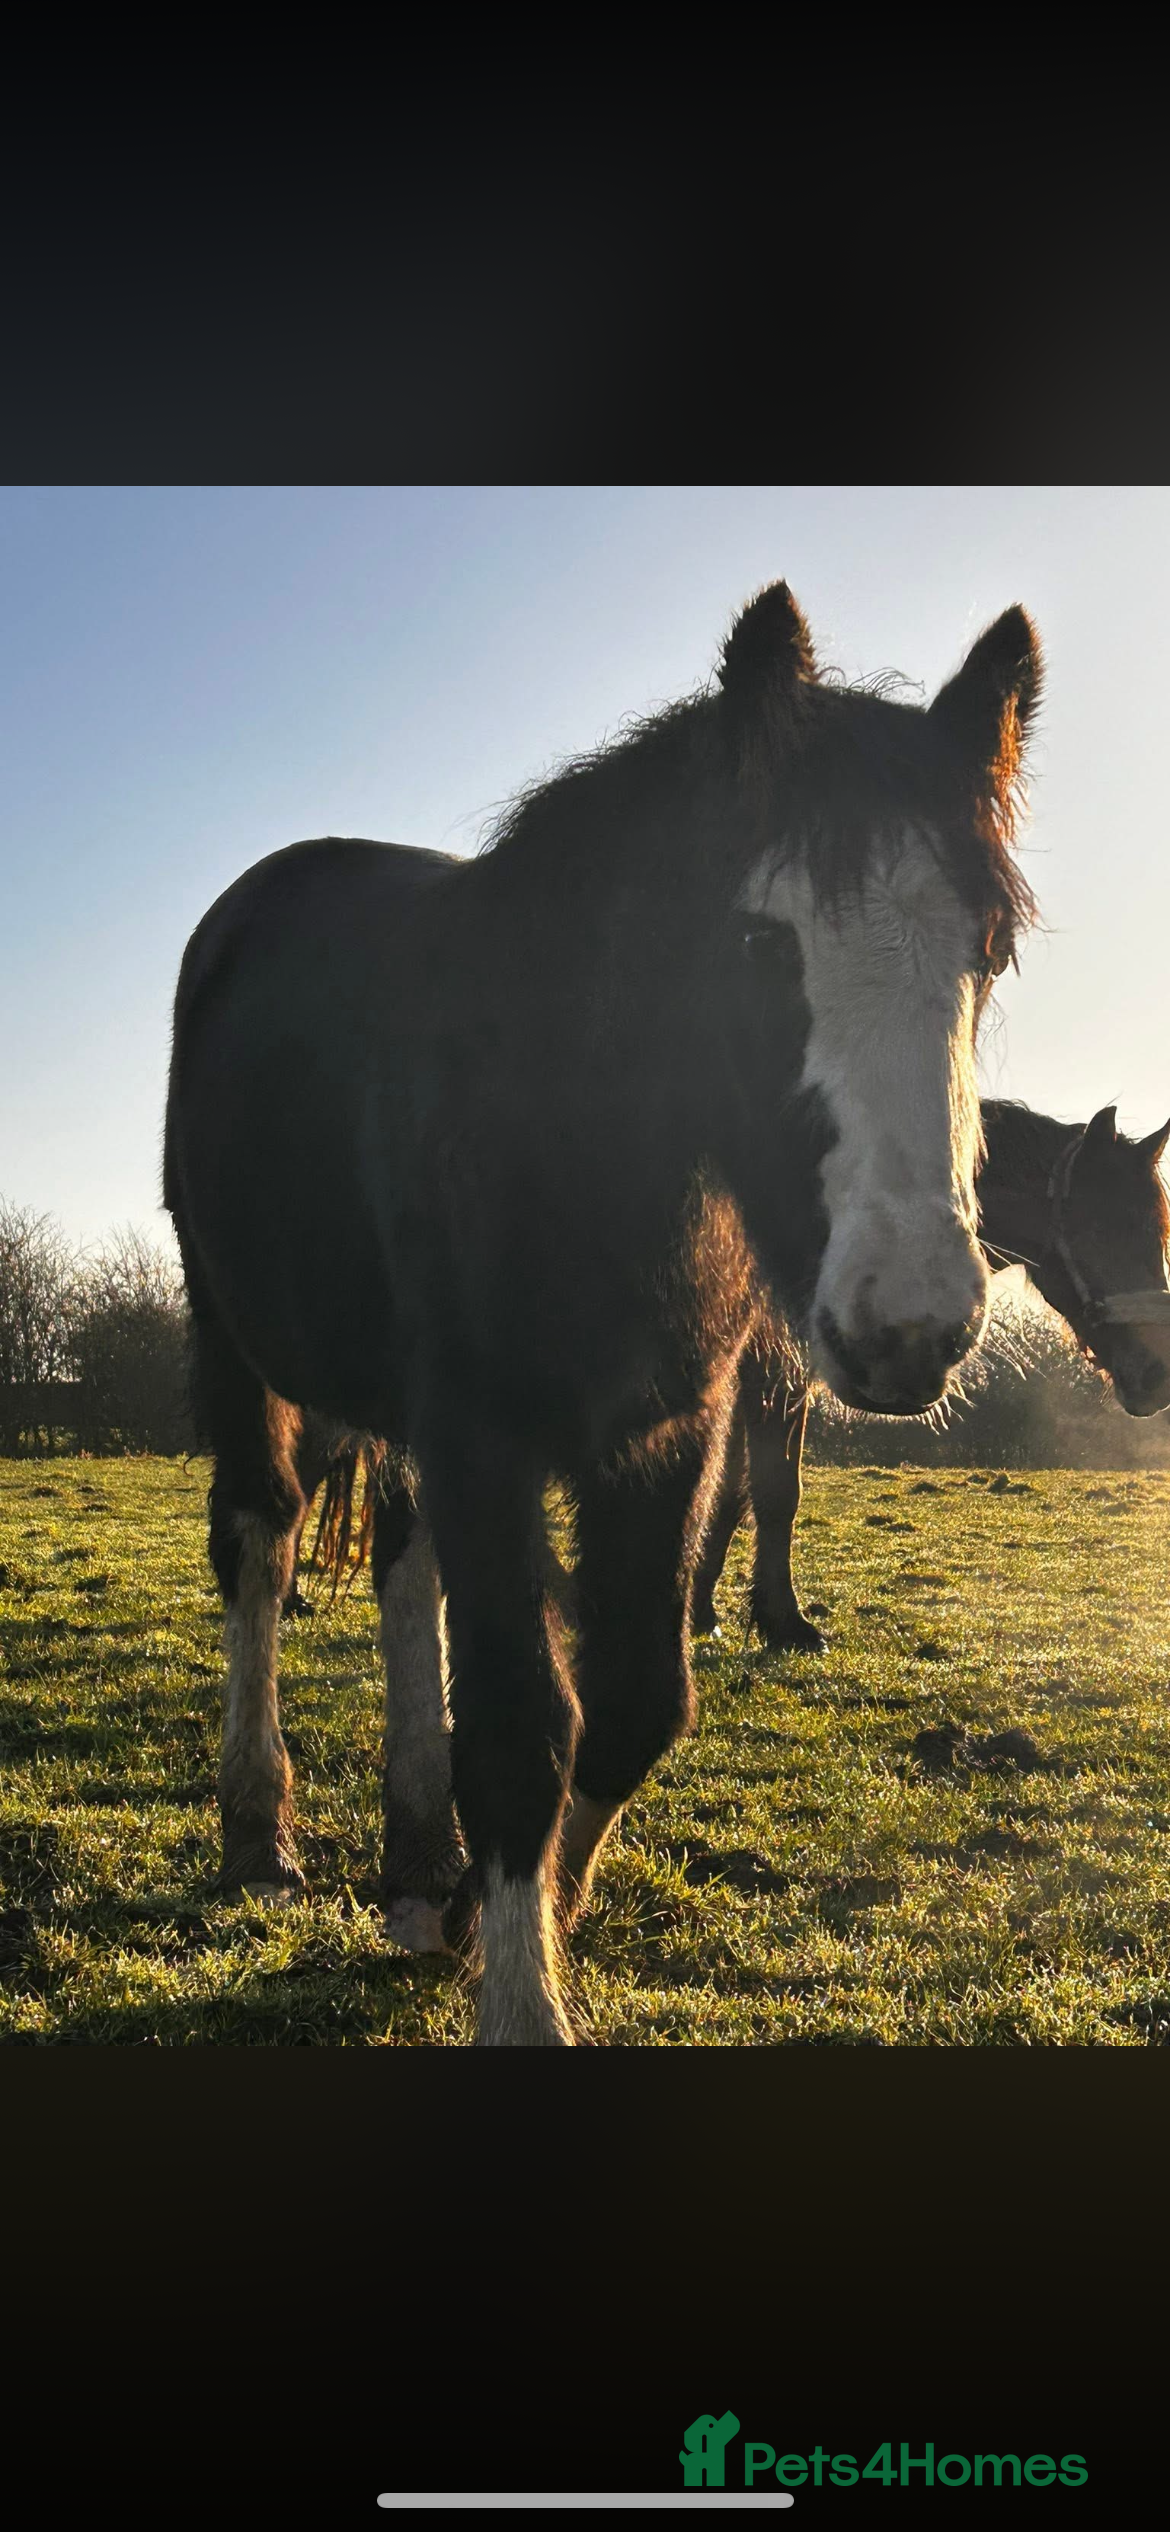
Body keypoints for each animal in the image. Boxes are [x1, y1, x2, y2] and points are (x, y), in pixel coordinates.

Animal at [164, 578, 1042, 2046]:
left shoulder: (662, 1437)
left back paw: (418, 1858)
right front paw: (520, 1995)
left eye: (988, 949)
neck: (578, 1146)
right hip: (233, 1341)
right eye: (758, 941)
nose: (910, 1322)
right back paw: (259, 1829)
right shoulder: (484, 1432)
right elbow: (525, 1727)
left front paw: (506, 1910)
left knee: (402, 1565)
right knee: (261, 1543)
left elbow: (634, 1702)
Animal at [693, 1099, 1170, 1650]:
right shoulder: (772, 1367)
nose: (1159, 1375)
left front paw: (704, 1610)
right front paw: (784, 1622)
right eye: (1103, 1228)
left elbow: (728, 1491)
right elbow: (774, 1490)